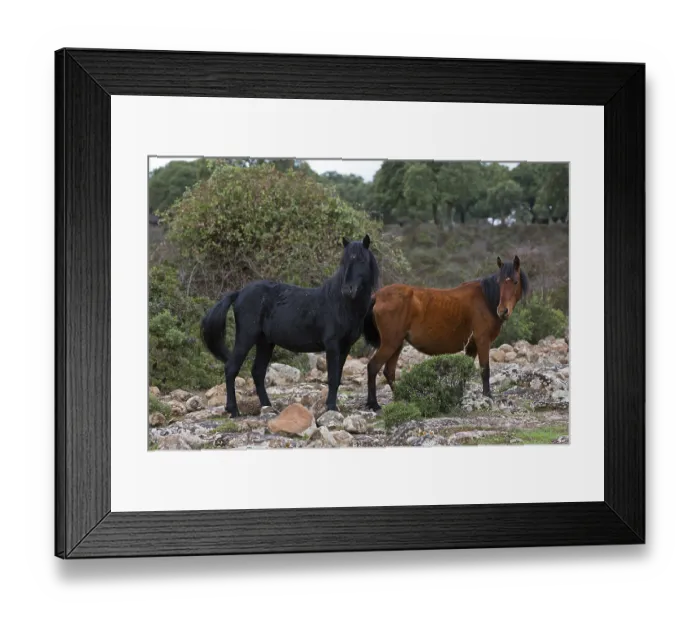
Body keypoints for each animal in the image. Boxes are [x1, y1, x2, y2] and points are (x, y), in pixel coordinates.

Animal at [200, 235, 380, 418]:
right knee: (231, 368)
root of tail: (238, 294)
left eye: (362, 260)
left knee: (257, 372)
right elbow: (332, 378)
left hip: (265, 342)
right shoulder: (332, 346)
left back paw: (268, 407)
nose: (347, 289)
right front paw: (331, 407)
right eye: (343, 261)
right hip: (246, 338)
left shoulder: (345, 347)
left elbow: (337, 377)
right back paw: (234, 410)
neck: (340, 303)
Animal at [362, 255, 529, 410]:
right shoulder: (482, 341)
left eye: (515, 282)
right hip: (390, 343)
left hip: (397, 344)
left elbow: (464, 371)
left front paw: (459, 394)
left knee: (389, 372)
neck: (485, 299)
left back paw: (403, 398)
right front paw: (487, 396)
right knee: (373, 367)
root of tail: (377, 296)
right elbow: (484, 370)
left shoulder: (472, 346)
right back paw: (374, 404)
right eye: (499, 283)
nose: (502, 311)